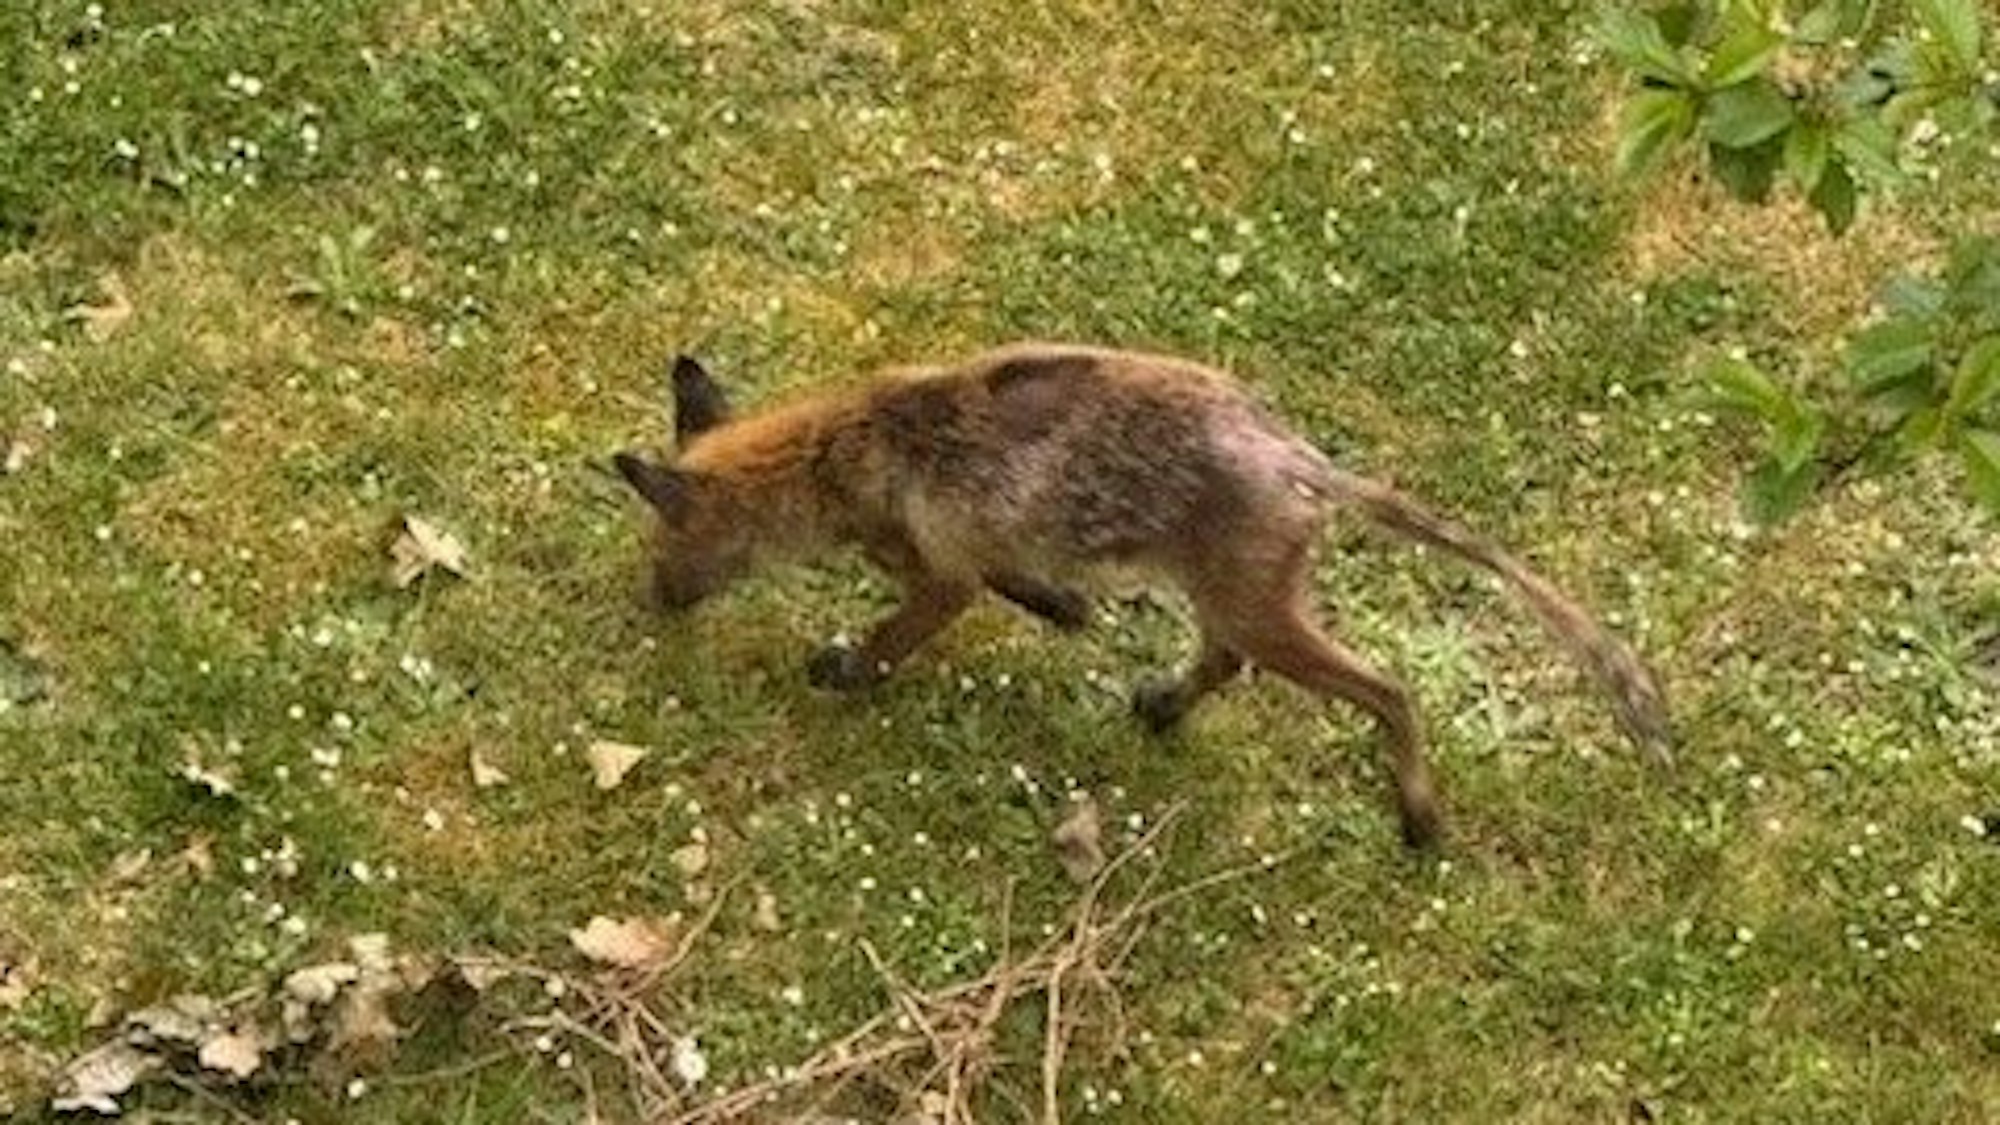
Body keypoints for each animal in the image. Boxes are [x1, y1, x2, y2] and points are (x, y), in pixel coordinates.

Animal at [611, 342, 1673, 848]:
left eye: (666, 542)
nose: (654, 601)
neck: (848, 448)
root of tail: (1300, 456)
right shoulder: (979, 554)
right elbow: (1036, 592)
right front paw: (1068, 613)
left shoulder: (938, 572)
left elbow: (892, 637)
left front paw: (840, 672)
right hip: (1235, 599)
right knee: (1224, 662)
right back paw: (1162, 707)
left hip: (1261, 612)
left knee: (1389, 691)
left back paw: (1418, 815)